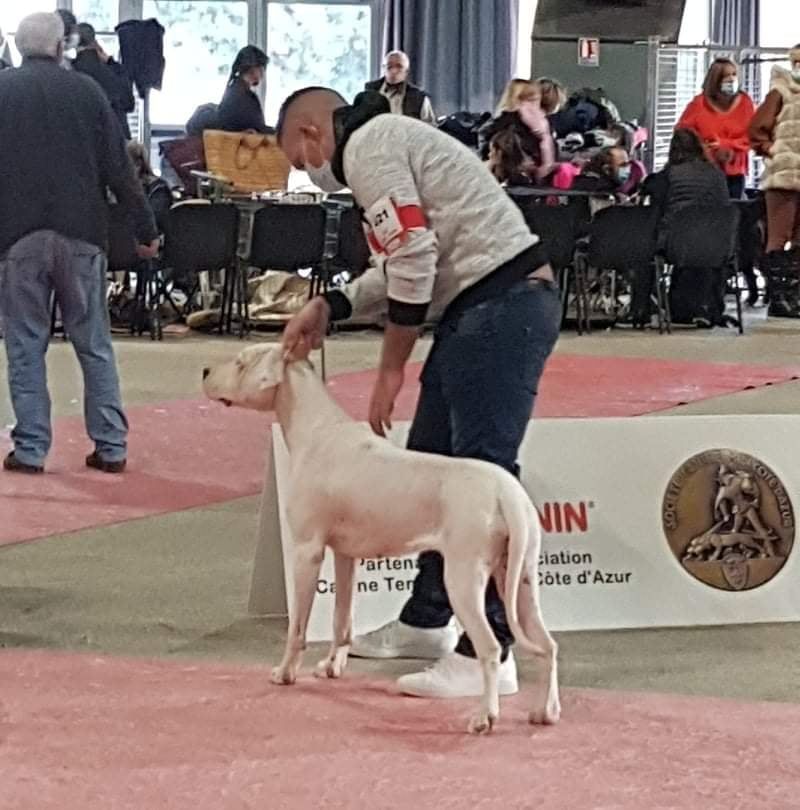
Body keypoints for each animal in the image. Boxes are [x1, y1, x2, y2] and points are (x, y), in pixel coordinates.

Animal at [203, 340, 560, 732]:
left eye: (240, 363)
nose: (205, 372)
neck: (316, 430)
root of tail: (506, 493)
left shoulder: (306, 552)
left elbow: (297, 627)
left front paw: (284, 673)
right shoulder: (344, 555)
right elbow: (341, 618)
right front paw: (332, 667)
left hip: (464, 579)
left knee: (491, 648)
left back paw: (484, 716)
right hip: (521, 579)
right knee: (548, 645)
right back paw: (545, 712)